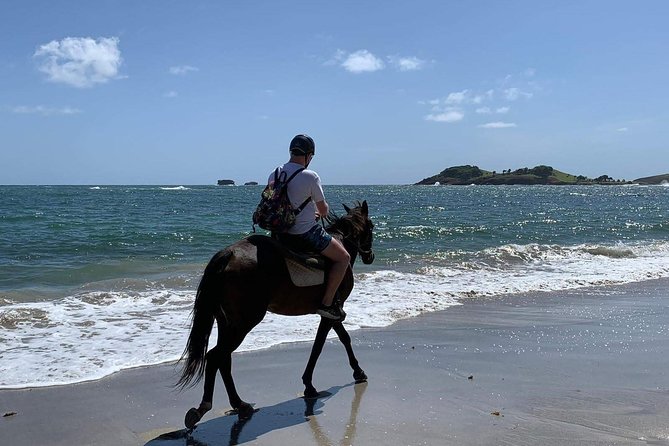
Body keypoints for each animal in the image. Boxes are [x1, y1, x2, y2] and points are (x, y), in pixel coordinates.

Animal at [176, 200, 376, 426]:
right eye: (371, 226)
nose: (370, 256)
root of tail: (227, 255)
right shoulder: (330, 312)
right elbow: (329, 343)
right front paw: (350, 374)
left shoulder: (328, 314)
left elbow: (333, 339)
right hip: (245, 321)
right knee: (215, 356)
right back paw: (208, 407)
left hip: (227, 322)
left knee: (223, 359)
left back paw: (239, 405)